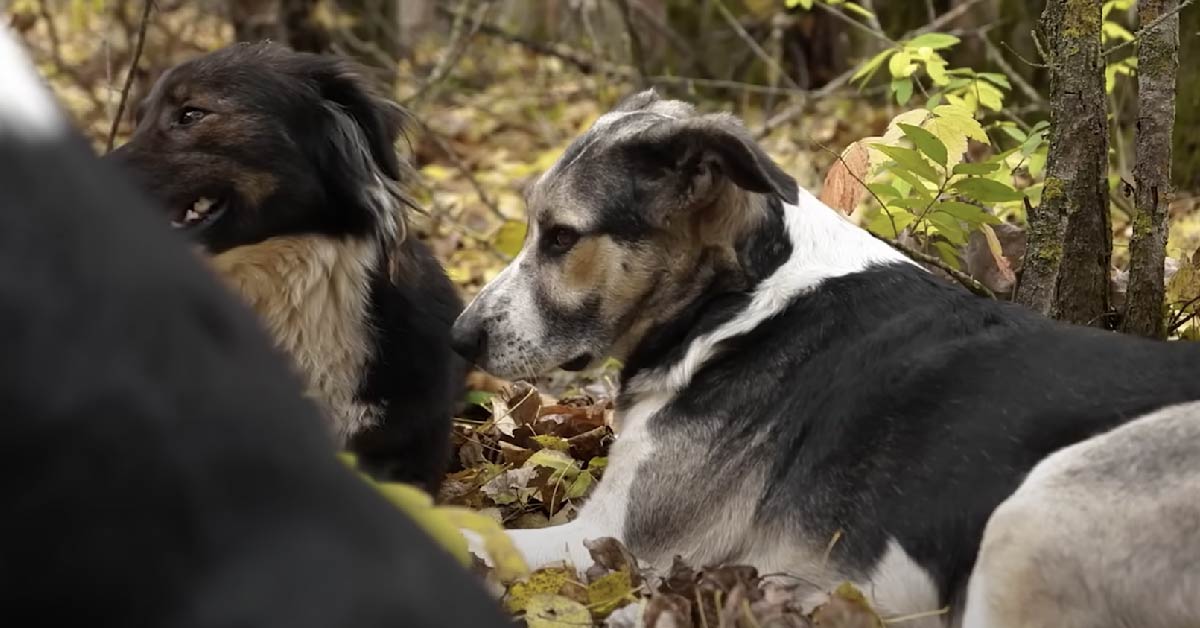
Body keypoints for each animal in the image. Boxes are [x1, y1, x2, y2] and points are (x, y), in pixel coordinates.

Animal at [451, 90, 1200, 624]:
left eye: (560, 237)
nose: (458, 338)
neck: (740, 296)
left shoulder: (617, 541)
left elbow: (469, 531)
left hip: (1039, 510)